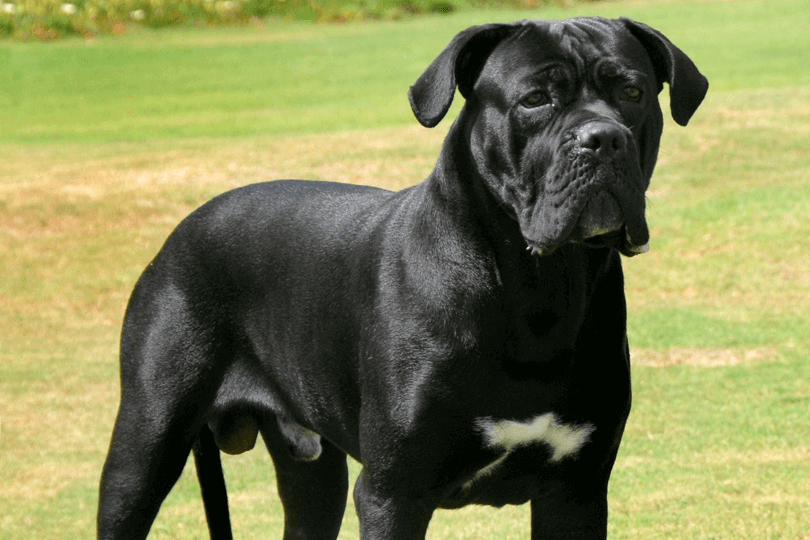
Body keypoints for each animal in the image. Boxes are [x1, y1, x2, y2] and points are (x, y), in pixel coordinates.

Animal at [98, 16, 704, 540]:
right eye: (535, 99)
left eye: (633, 92)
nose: (603, 138)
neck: (537, 286)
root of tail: (181, 229)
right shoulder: (394, 493)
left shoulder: (576, 490)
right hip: (145, 443)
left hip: (314, 473)